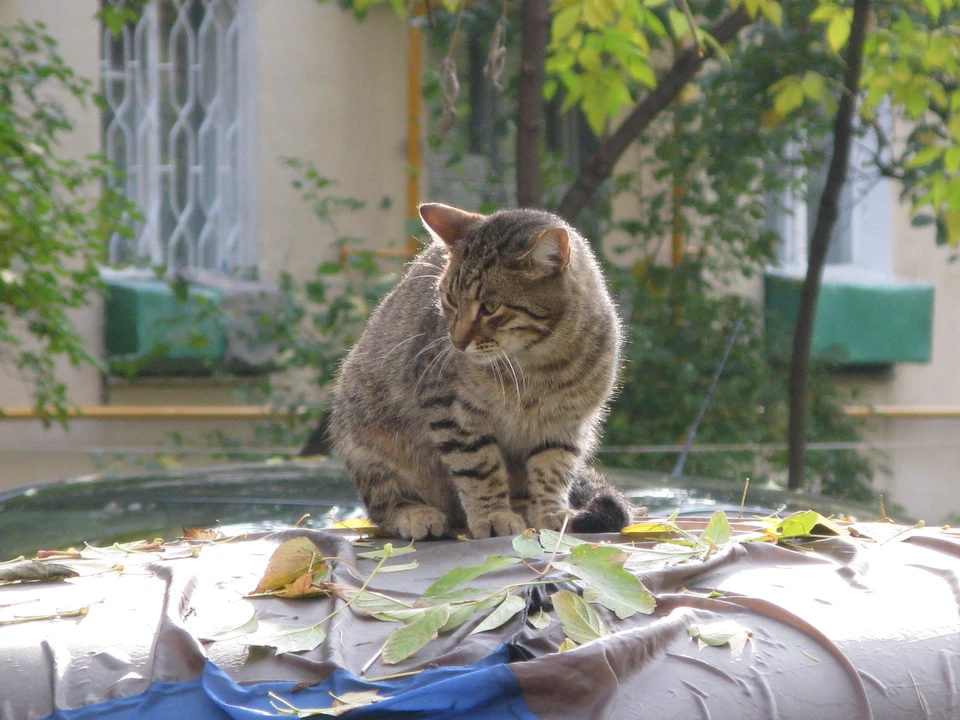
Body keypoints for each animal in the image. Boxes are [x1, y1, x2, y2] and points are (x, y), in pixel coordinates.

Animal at [326, 200, 632, 536]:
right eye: (449, 300)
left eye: (490, 307)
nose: (457, 342)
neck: (538, 365)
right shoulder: (453, 410)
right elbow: (479, 468)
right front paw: (493, 515)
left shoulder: (567, 422)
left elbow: (553, 468)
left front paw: (551, 511)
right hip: (369, 441)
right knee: (384, 502)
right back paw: (415, 514)